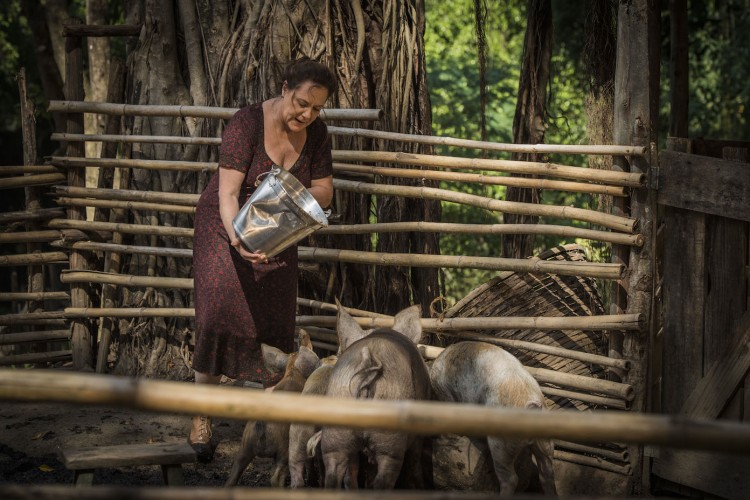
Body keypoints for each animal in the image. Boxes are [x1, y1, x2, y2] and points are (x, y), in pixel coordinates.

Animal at [225, 330, 322, 486]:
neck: (292, 372)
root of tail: (262, 424)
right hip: (284, 449)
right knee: (276, 477)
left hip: (244, 447)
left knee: (232, 476)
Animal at [318, 302, 434, 490]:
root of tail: (369, 358)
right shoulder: (417, 435)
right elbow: (414, 463)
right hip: (390, 434)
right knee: (384, 478)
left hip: (335, 427)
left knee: (337, 474)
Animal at [428, 340, 560, 496]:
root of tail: (531, 407)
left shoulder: (445, 394)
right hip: (545, 440)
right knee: (547, 472)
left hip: (501, 443)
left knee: (511, 478)